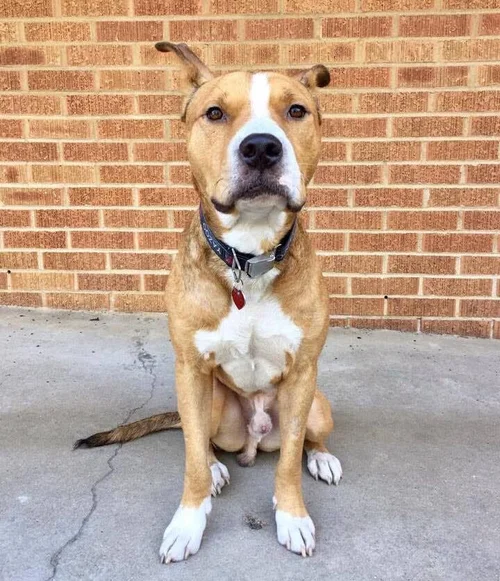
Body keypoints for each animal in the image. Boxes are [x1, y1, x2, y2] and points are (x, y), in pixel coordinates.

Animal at [76, 41, 342, 563]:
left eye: (296, 111)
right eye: (214, 113)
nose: (261, 147)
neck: (248, 259)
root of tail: (255, 439)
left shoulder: (303, 372)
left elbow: (288, 461)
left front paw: (292, 517)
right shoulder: (191, 371)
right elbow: (193, 458)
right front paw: (187, 523)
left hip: (318, 404)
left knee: (303, 440)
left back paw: (321, 458)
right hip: (215, 404)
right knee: (202, 442)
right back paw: (221, 468)